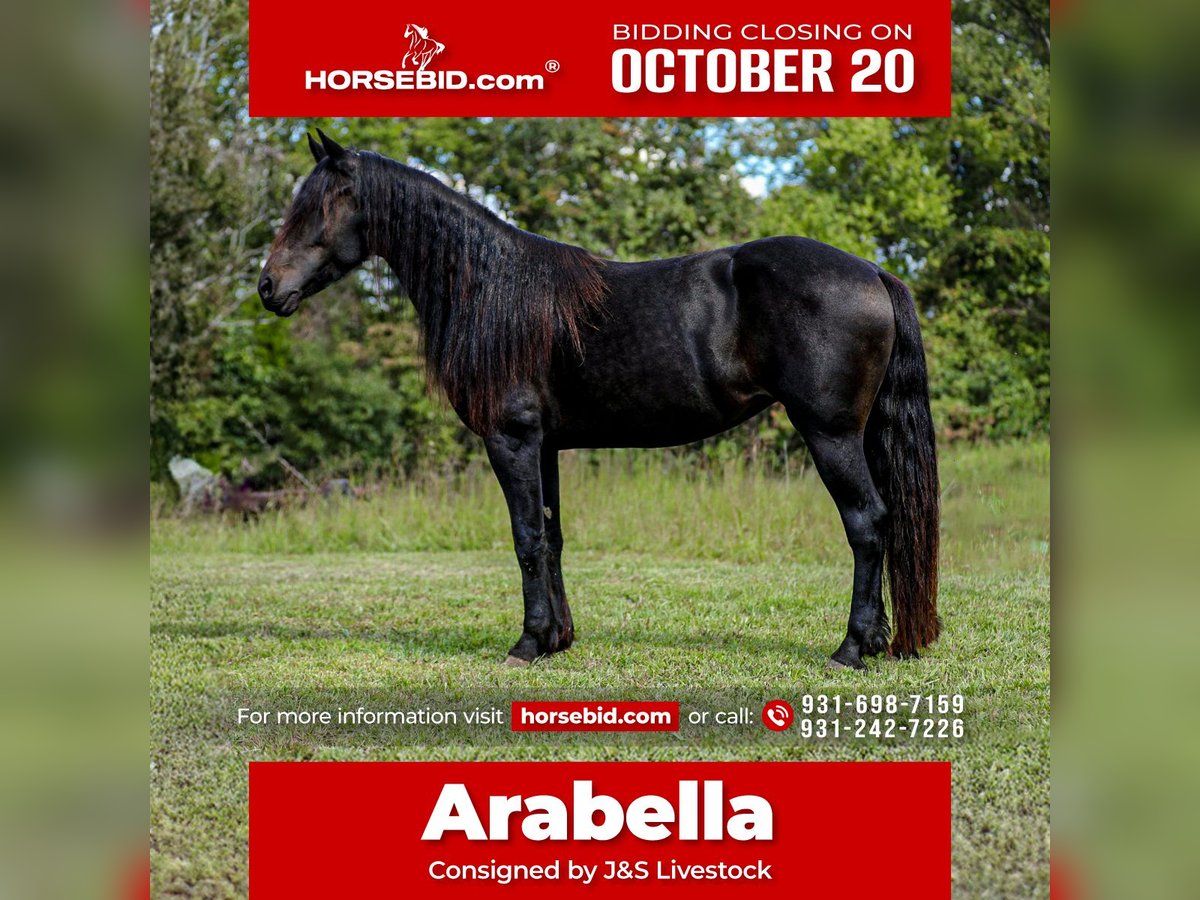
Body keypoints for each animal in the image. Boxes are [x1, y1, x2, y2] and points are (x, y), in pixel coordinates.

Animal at [258, 130, 941, 670]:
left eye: (317, 207)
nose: (268, 287)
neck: (492, 289)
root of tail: (873, 272)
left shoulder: (511, 438)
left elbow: (526, 537)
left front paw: (527, 644)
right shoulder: (546, 445)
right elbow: (552, 536)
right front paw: (557, 639)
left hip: (829, 433)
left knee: (867, 524)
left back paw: (850, 649)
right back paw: (876, 641)